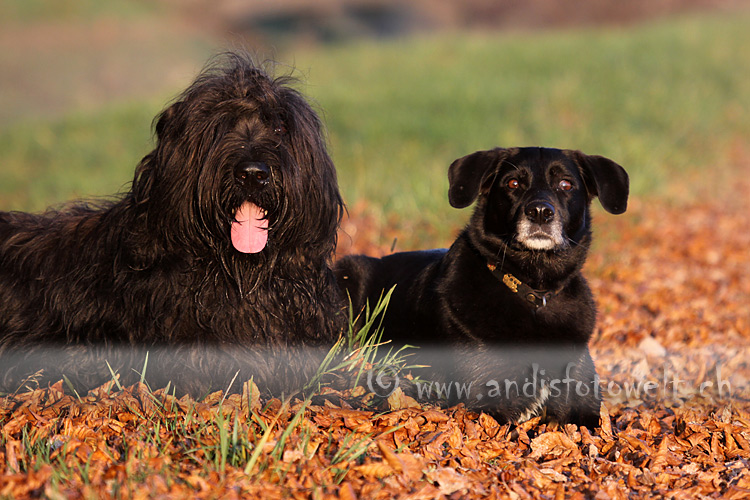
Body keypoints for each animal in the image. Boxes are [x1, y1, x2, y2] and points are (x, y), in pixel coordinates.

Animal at [338, 146, 632, 428]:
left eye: (565, 184)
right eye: (513, 183)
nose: (540, 212)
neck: (534, 290)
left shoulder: (583, 406)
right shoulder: (491, 401)